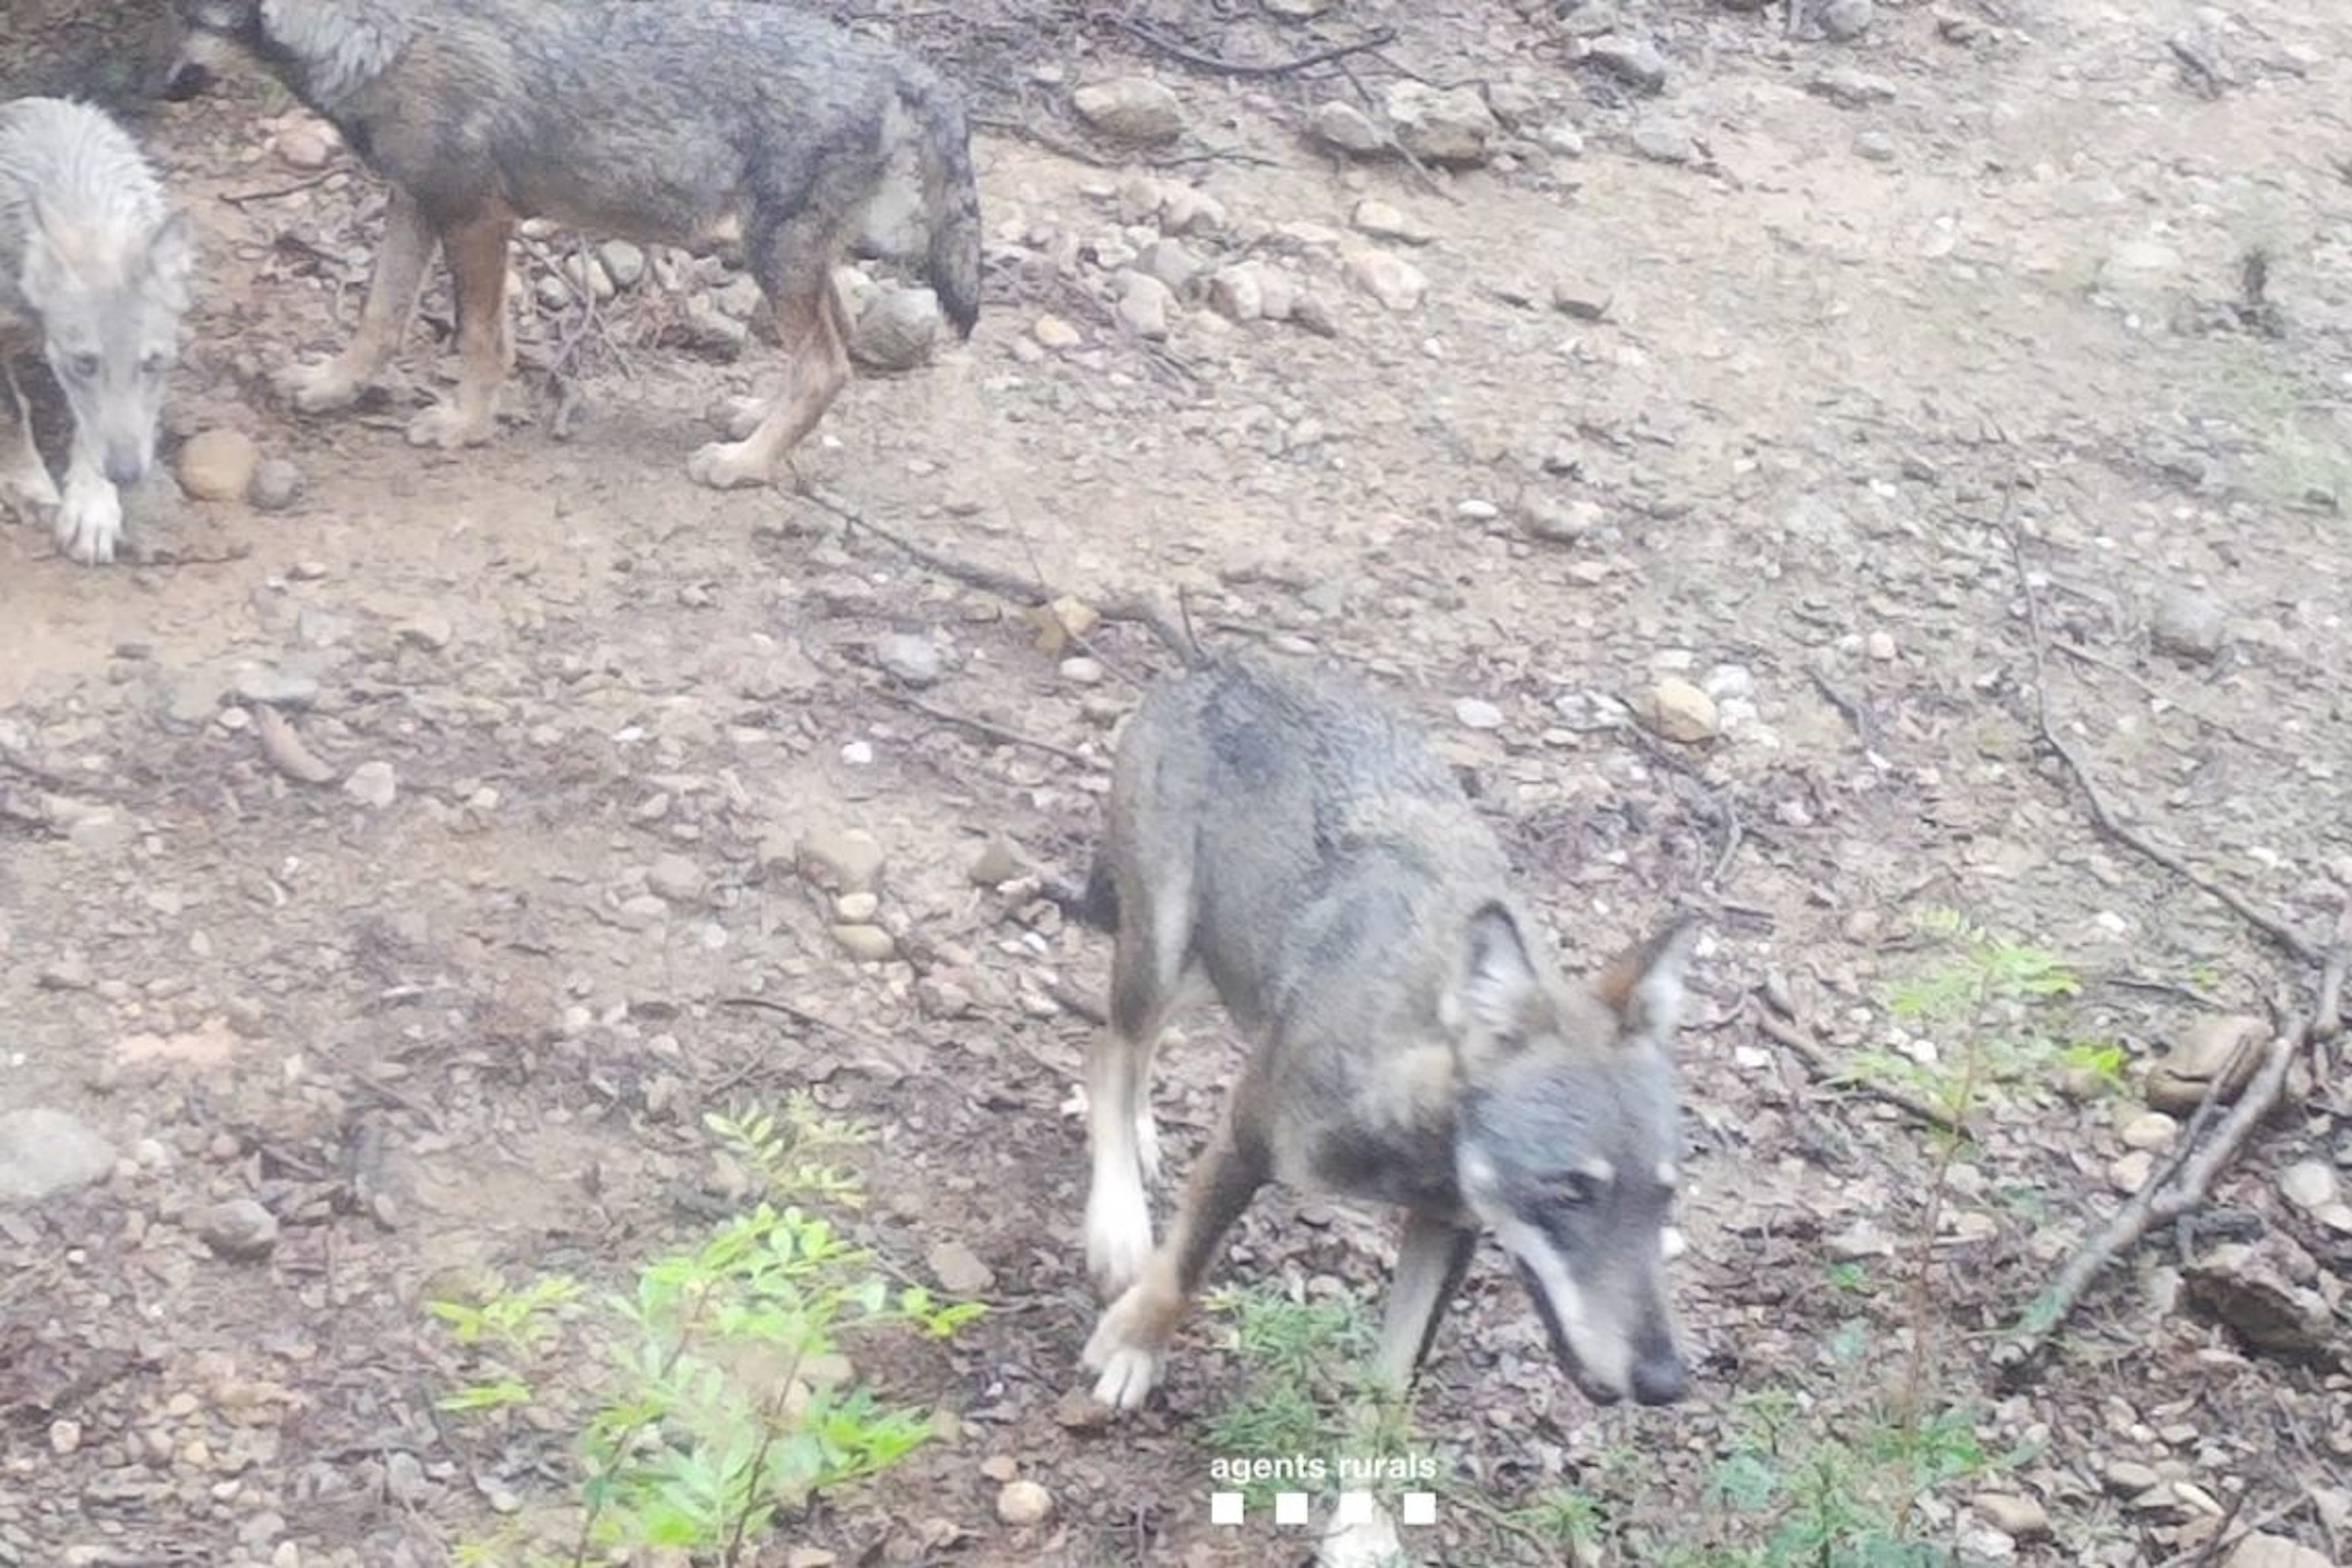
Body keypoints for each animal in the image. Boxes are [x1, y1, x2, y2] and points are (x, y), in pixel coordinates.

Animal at [0, 97, 192, 565]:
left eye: (153, 364)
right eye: (84, 364)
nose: (126, 475)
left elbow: (91, 430)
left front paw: (93, 505)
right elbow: (10, 412)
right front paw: (28, 484)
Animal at [156, 0, 982, 489]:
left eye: (189, 21)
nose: (155, 87)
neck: (383, 36)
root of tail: (893, 62)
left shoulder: (477, 221)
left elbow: (481, 343)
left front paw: (464, 426)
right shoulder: (413, 205)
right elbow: (378, 320)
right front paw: (332, 386)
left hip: (776, 258)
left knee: (828, 367)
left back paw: (744, 464)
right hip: (791, 262)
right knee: (834, 346)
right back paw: (755, 426)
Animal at [1075, 657, 1696, 1414]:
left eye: (1663, 1200)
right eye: (1571, 1191)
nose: (1666, 1381)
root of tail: (1218, 662)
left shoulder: (1447, 1230)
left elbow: (1390, 1397)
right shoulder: (1243, 1143)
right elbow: (1181, 1272)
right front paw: (1135, 1347)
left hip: (1217, 973)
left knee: (1126, 1049)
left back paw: (1140, 1139)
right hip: (1163, 951)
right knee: (1109, 1052)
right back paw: (1118, 1224)